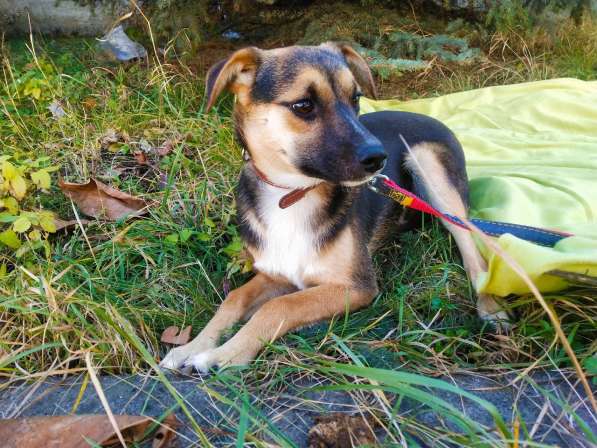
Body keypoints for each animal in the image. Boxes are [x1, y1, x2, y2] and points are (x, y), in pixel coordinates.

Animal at [159, 42, 508, 372]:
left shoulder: (356, 287)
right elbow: (234, 298)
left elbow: (280, 307)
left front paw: (224, 355)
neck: (292, 196)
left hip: (429, 168)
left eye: (355, 98)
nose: (378, 158)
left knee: (473, 254)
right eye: (303, 105)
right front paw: (191, 347)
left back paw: (490, 308)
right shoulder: (278, 272)